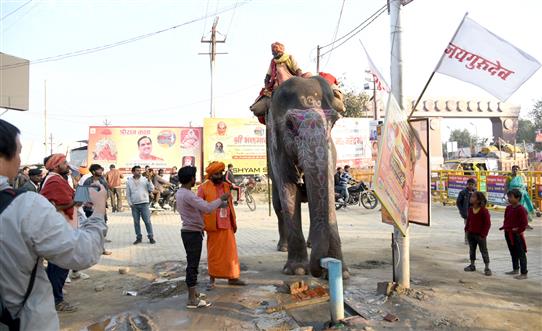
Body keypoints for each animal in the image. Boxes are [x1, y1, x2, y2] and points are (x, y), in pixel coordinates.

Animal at [253, 76, 350, 278]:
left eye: (334, 122)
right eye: (289, 124)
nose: (322, 268)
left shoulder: (330, 151)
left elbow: (328, 192)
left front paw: (343, 272)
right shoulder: (276, 150)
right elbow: (288, 191)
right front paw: (296, 270)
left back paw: (311, 244)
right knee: (278, 205)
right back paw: (283, 247)